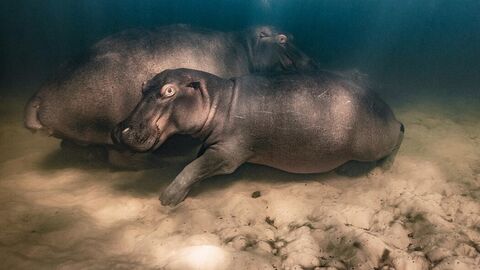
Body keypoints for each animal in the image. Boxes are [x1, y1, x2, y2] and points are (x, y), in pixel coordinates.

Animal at [24, 23, 316, 162]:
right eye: (283, 38)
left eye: (291, 35)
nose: (314, 63)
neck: (247, 46)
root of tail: (38, 97)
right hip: (111, 130)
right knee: (122, 158)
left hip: (81, 134)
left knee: (73, 146)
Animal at [113, 68, 404, 206]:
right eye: (142, 86)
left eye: (169, 90)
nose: (120, 130)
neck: (219, 100)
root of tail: (389, 111)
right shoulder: (211, 144)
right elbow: (195, 159)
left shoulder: (227, 154)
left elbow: (193, 167)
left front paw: (168, 198)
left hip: (372, 144)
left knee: (399, 136)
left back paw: (377, 168)